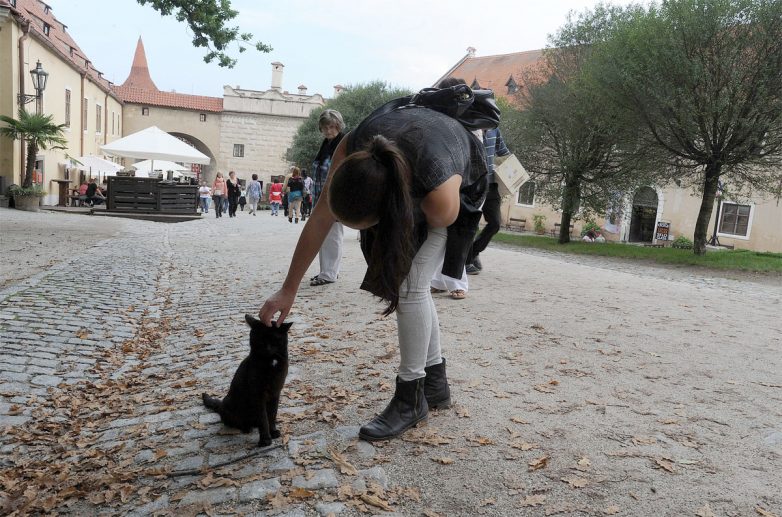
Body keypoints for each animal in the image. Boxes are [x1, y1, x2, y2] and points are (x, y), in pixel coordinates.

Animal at [202, 312, 290, 446]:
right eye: (259, 338)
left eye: (273, 338)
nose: (266, 347)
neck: (271, 361)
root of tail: (221, 404)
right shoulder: (258, 394)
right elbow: (263, 418)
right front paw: (265, 440)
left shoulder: (276, 392)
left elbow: (272, 415)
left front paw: (273, 432)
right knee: (234, 423)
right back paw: (246, 428)